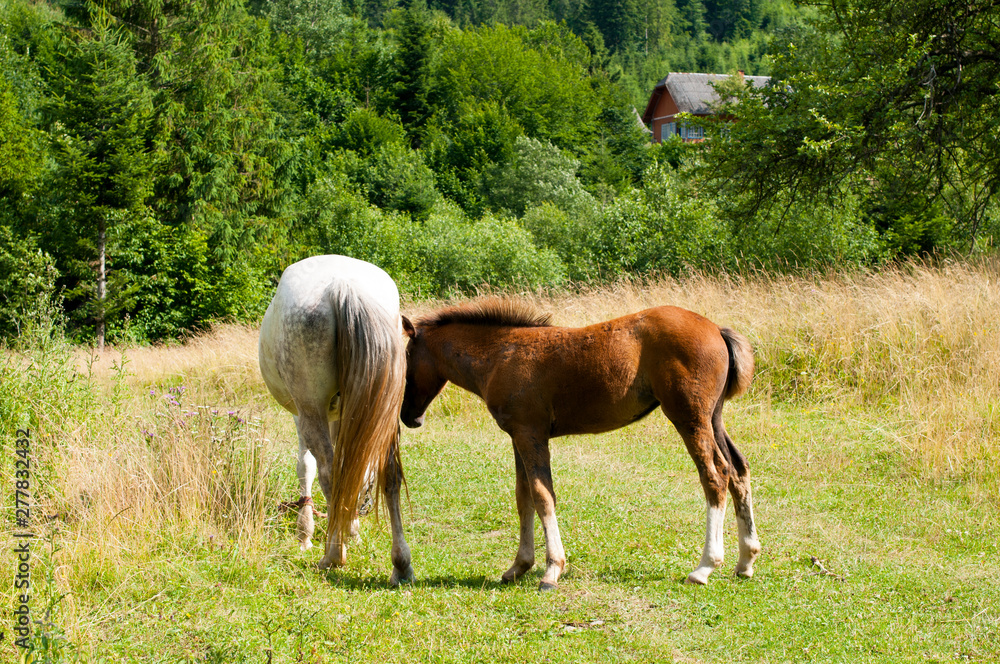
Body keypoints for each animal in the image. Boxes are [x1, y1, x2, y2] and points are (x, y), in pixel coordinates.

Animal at [258, 255, 414, 585]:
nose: (363, 510)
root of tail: (342, 285)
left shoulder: (302, 414)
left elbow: (305, 466)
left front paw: (306, 534)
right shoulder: (345, 415)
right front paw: (350, 526)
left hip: (311, 409)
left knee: (331, 473)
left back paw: (332, 555)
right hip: (384, 412)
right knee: (390, 472)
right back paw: (401, 565)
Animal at [400, 298, 760, 589]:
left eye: (406, 357)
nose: (408, 417)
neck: (499, 356)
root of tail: (716, 329)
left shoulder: (531, 434)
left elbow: (543, 496)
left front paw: (551, 571)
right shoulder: (518, 436)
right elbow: (523, 497)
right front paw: (518, 567)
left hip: (689, 417)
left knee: (715, 475)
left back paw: (705, 567)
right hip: (714, 417)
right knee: (738, 469)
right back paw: (746, 560)